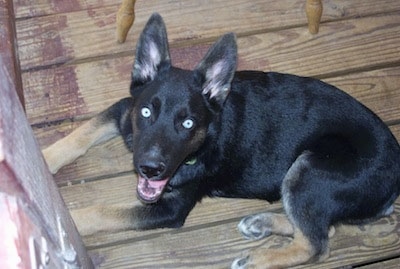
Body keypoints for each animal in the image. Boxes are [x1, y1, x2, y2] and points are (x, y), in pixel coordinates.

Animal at [43, 13, 400, 268]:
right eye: (146, 112)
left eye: (188, 123)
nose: (150, 169)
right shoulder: (123, 110)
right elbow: (81, 134)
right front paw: (42, 158)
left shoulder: (169, 209)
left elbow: (99, 213)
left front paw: (64, 225)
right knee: (324, 228)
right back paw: (261, 223)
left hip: (308, 169)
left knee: (316, 244)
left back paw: (257, 259)